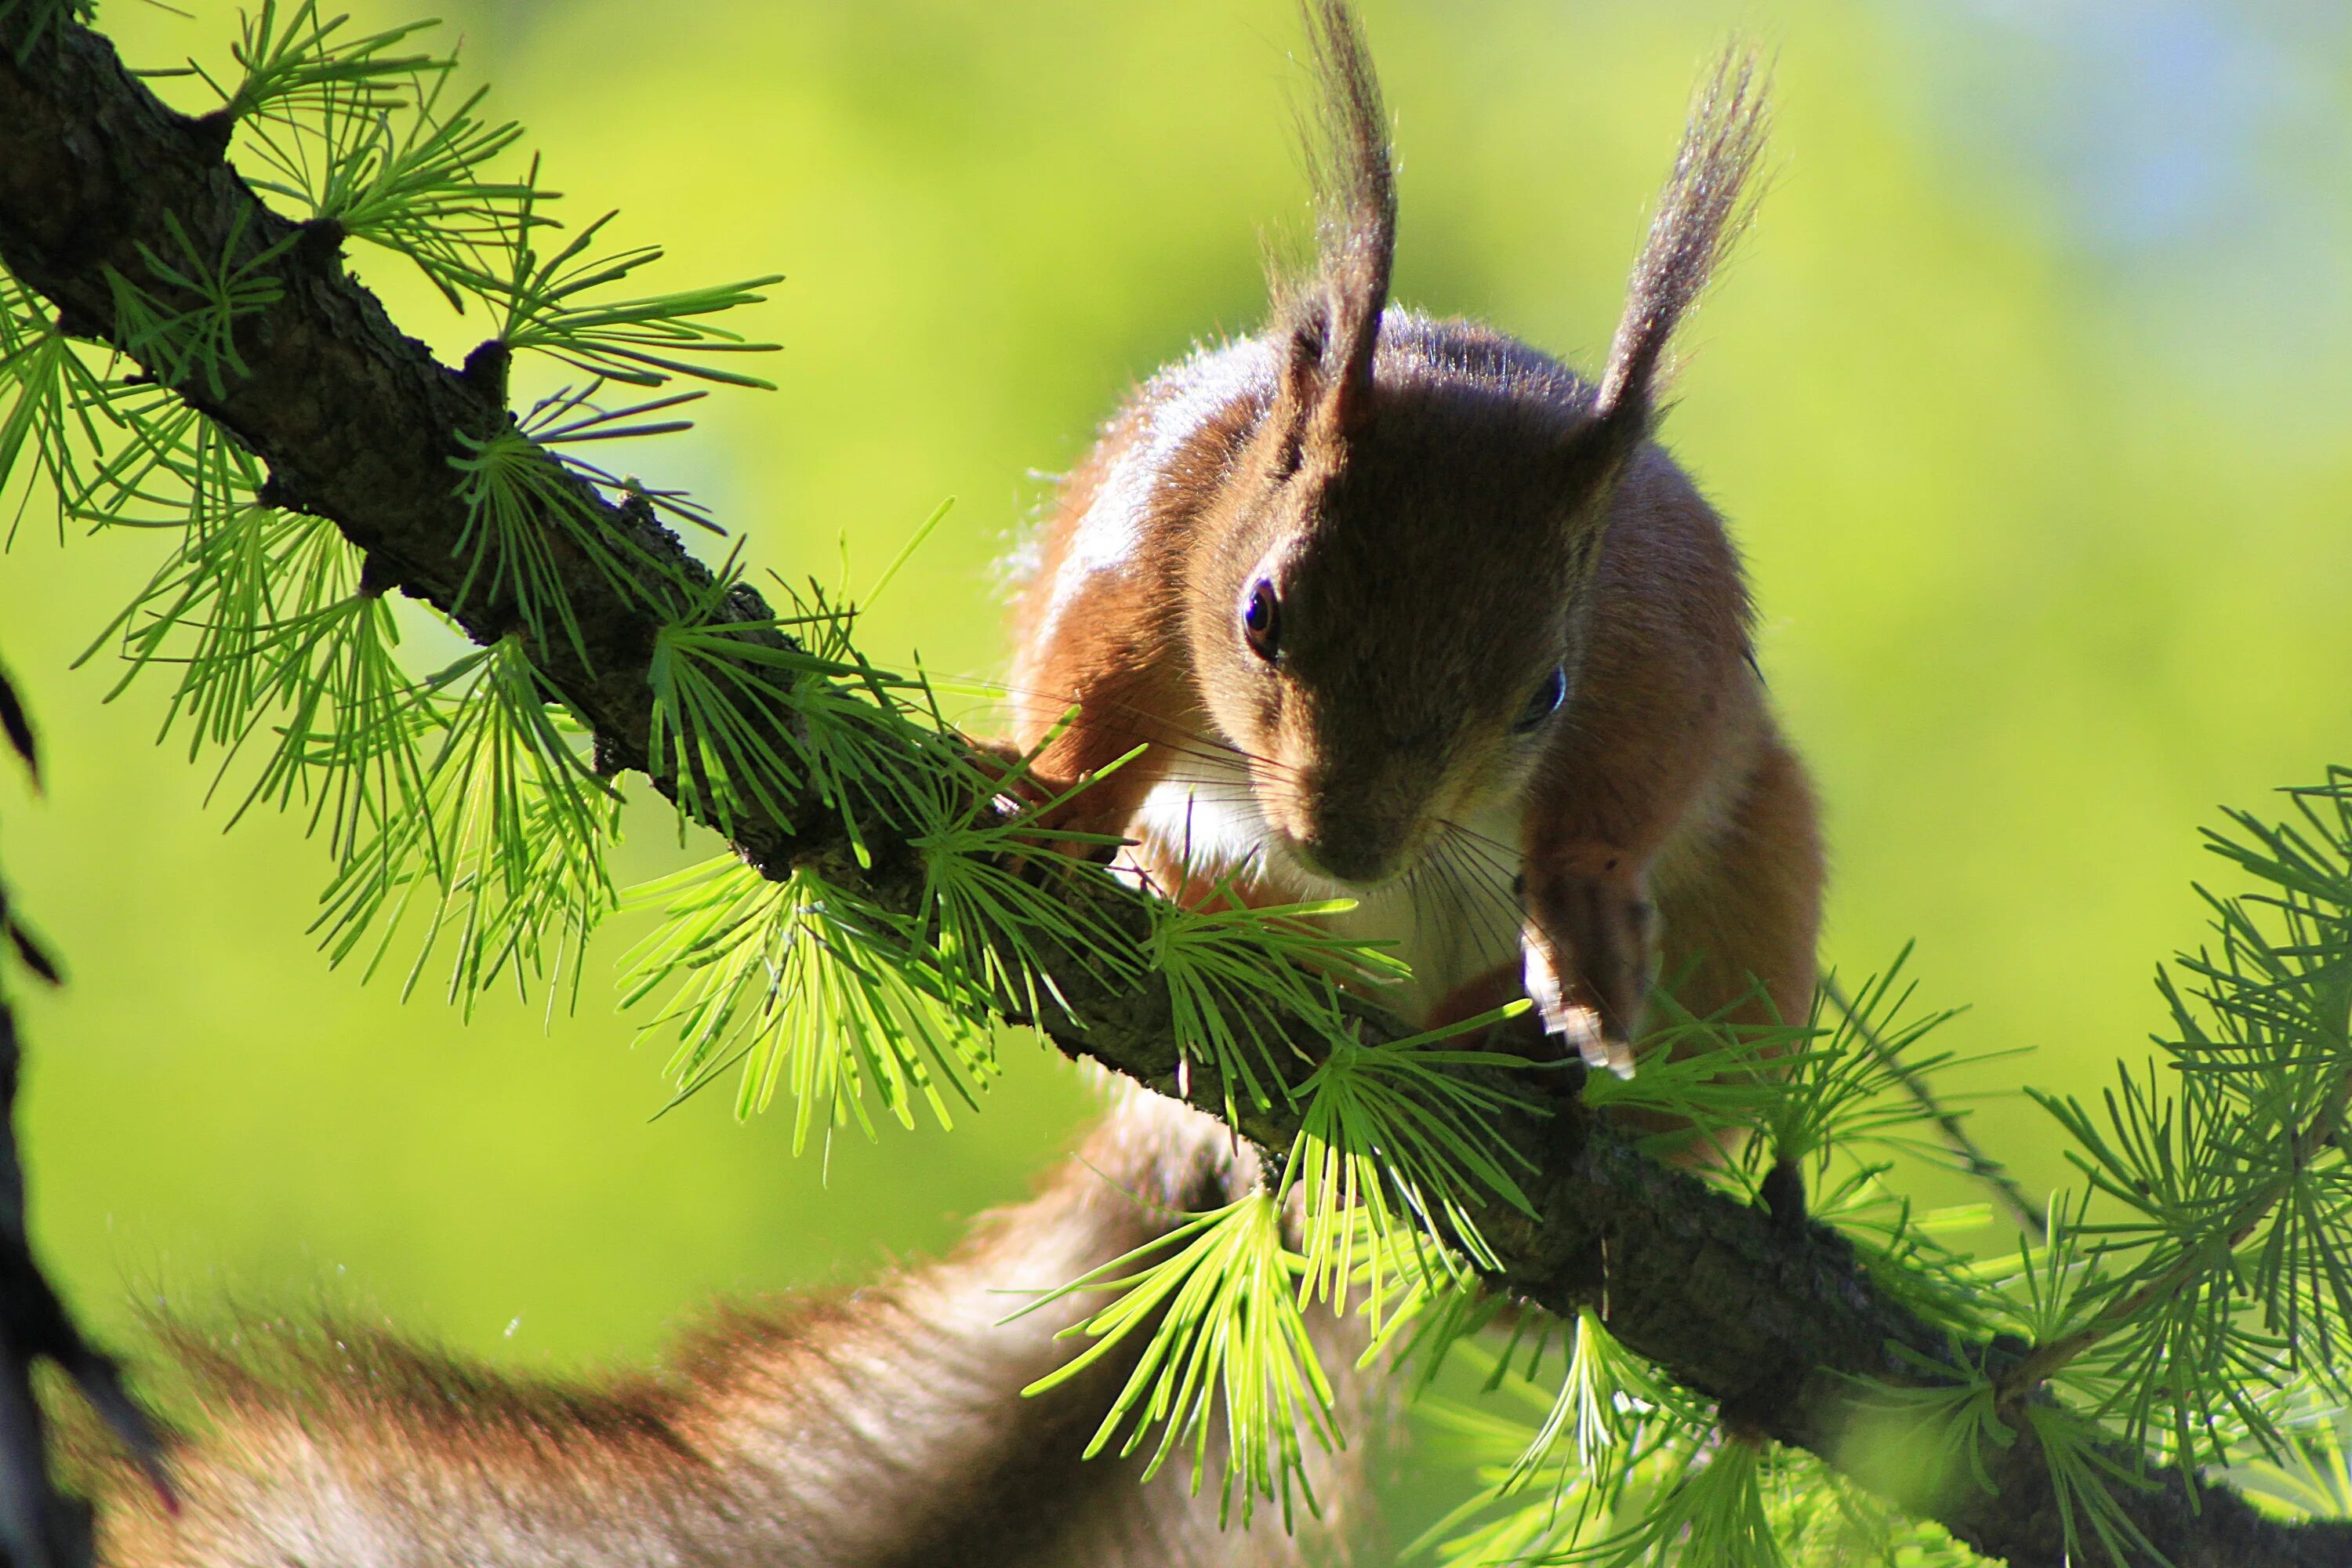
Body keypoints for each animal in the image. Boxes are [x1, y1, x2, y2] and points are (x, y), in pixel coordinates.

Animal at [1011, 0, 1816, 1086]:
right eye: (1259, 615)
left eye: (1546, 694)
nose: (1348, 848)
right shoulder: (1159, 525)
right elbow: (1094, 679)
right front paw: (1061, 805)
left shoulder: (1660, 631)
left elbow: (1636, 778)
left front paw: (1585, 919)